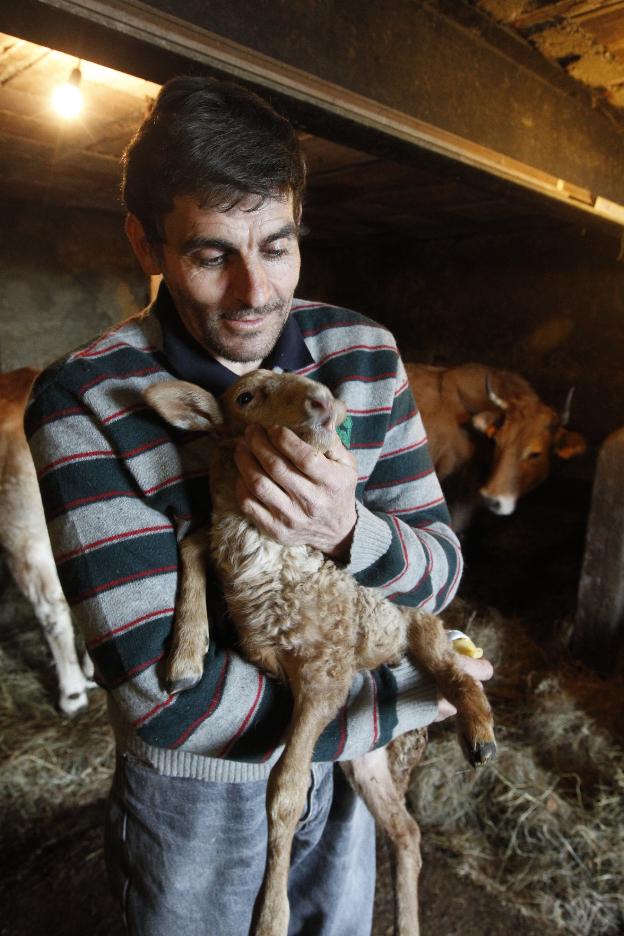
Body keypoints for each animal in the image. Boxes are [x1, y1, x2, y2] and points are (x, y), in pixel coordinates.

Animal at [144, 372, 494, 936]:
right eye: (245, 397)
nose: (324, 400)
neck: (272, 559)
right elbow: (193, 542)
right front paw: (185, 658)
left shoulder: (325, 671)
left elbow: (285, 788)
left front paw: (270, 917)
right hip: (366, 760)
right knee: (406, 832)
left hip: (417, 627)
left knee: (454, 671)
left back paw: (479, 736)